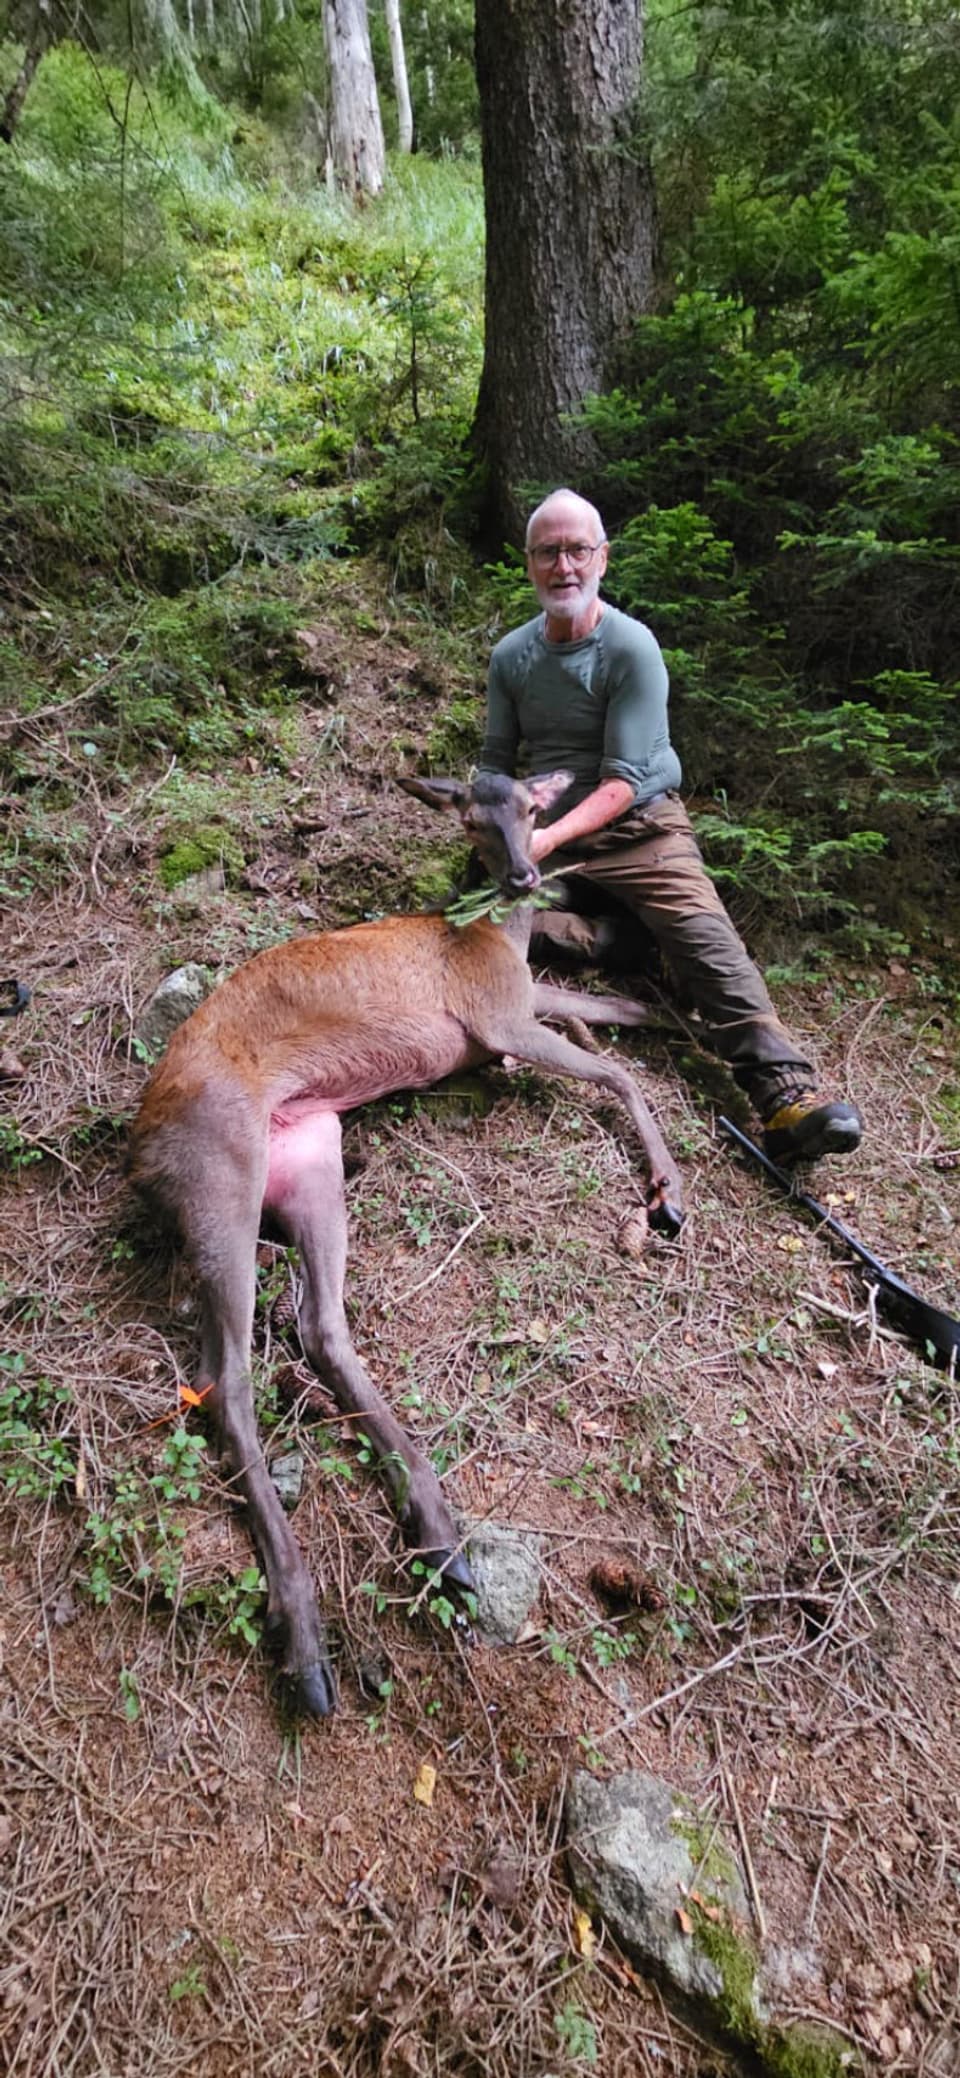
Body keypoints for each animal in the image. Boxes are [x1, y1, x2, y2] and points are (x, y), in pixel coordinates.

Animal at [127, 773, 681, 1712]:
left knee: (319, 1326)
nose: (528, 877)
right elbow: (615, 1070)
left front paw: (668, 1018)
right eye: (472, 819)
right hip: (219, 1171)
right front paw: (667, 1189)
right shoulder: (497, 1017)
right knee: (224, 1375)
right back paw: (306, 1636)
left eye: (531, 809)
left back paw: (438, 1535)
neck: (495, 937)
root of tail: (136, 1154)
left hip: (313, 1154)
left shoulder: (521, 1000)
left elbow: (614, 1015)